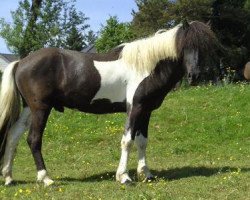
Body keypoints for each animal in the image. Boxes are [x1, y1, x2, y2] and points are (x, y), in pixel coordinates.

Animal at [0, 21, 219, 185]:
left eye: (205, 47)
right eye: (185, 45)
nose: (194, 76)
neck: (146, 66)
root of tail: (21, 62)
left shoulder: (146, 110)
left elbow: (142, 141)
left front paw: (146, 174)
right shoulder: (135, 108)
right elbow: (127, 140)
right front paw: (124, 177)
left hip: (29, 109)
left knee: (13, 135)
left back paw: (9, 177)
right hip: (41, 109)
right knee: (33, 139)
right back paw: (45, 178)